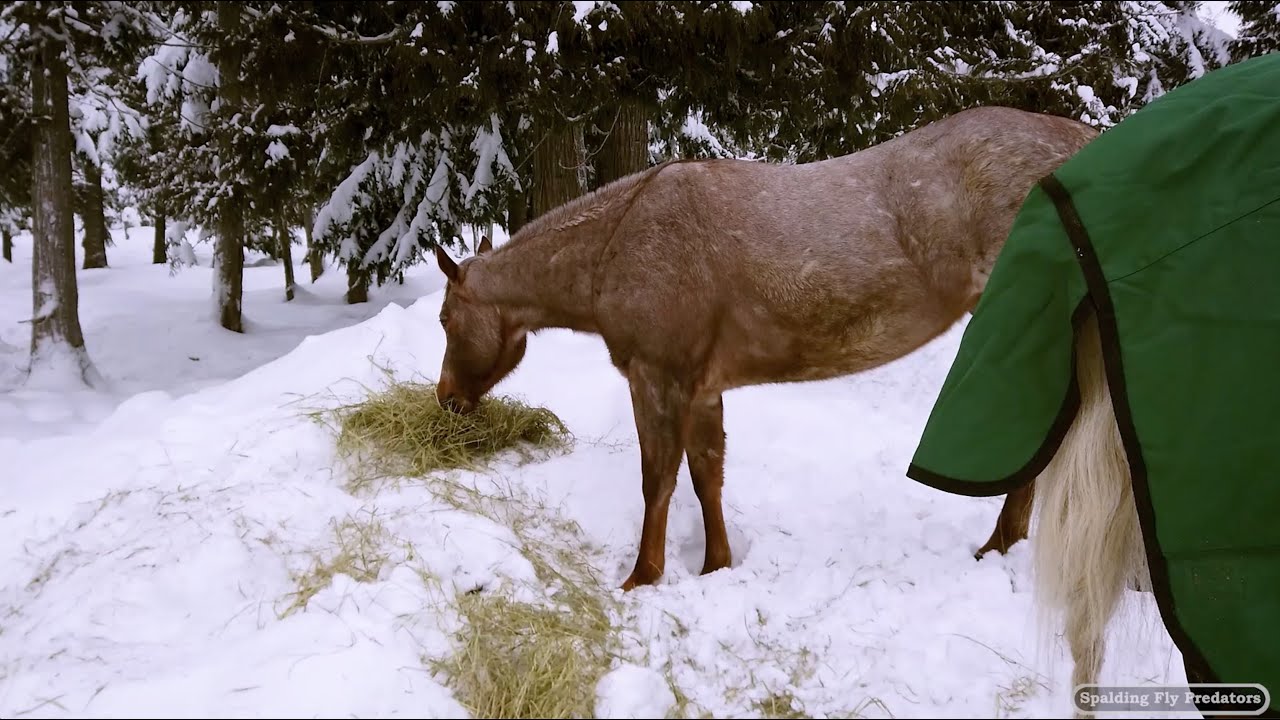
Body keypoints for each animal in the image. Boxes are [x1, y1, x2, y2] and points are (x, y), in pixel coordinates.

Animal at [431, 105, 1099, 591]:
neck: (615, 247)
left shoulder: (656, 376)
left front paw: (642, 578)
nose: (446, 399)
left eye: (444, 319)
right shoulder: (703, 387)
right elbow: (707, 475)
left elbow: (657, 480)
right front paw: (716, 566)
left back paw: (1002, 546)